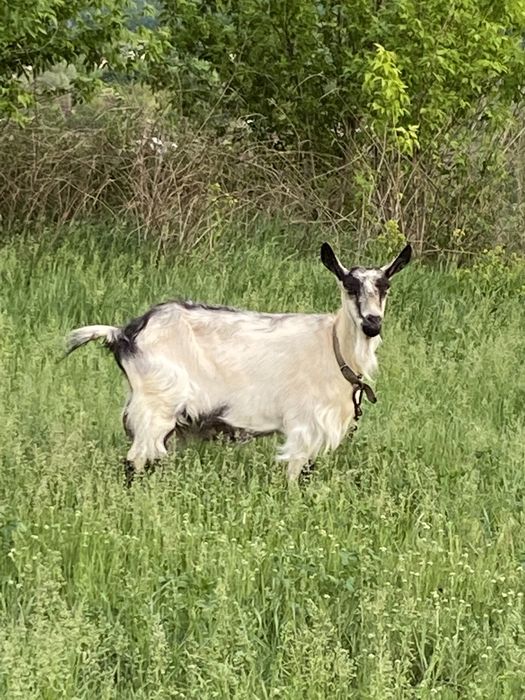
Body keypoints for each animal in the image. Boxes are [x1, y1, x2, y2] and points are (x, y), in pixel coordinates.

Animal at [66, 242, 411, 483]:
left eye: (385, 287)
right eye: (349, 286)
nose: (372, 323)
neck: (333, 346)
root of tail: (124, 333)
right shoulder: (305, 424)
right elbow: (295, 475)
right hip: (156, 405)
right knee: (134, 461)